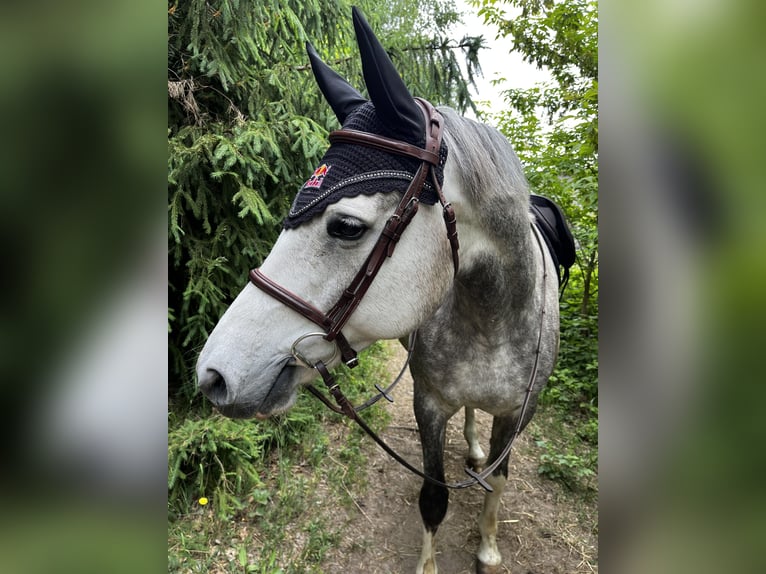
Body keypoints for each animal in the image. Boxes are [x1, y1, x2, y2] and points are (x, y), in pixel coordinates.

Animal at [196, 8, 561, 574]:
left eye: (346, 226)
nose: (213, 375)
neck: (492, 321)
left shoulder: (519, 414)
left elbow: (498, 482)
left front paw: (488, 548)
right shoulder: (428, 403)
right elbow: (434, 496)